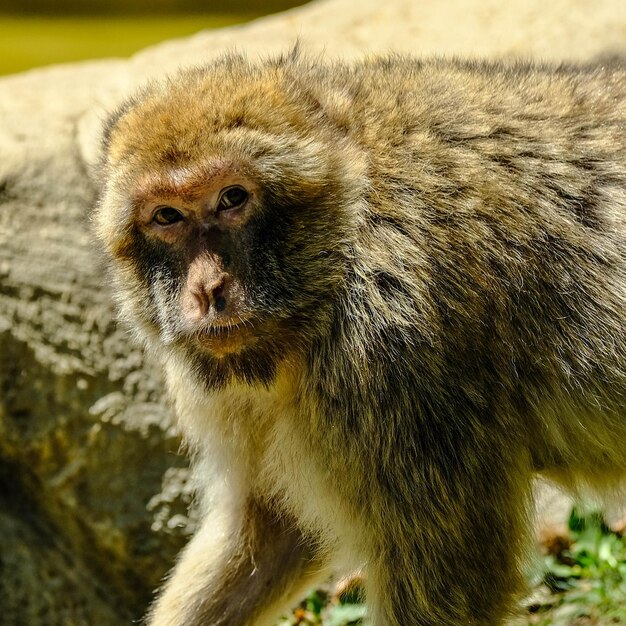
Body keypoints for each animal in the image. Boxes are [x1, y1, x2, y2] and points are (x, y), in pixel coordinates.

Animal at [92, 52, 624, 624]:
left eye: (232, 198)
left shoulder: (395, 362)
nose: (208, 289)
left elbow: (449, 584)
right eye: (167, 215)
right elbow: (271, 527)